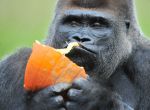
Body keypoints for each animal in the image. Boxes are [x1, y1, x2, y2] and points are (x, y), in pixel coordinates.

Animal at [0, 0, 150, 109]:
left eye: (97, 24)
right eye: (73, 22)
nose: (80, 38)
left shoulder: (145, 61)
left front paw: (98, 99)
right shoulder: (12, 67)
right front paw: (40, 103)